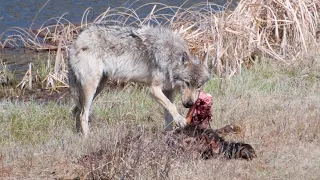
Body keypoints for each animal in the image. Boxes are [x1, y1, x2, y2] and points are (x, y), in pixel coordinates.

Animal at [68, 23, 210, 136]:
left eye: (198, 86)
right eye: (187, 83)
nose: (189, 104)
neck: (170, 57)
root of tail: (76, 40)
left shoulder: (168, 91)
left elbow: (168, 114)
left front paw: (169, 135)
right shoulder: (154, 89)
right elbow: (172, 107)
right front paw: (180, 120)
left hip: (99, 87)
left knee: (77, 111)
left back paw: (79, 137)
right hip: (91, 87)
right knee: (82, 115)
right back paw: (87, 138)